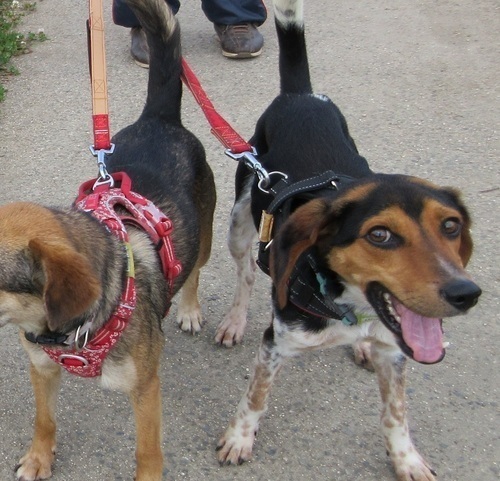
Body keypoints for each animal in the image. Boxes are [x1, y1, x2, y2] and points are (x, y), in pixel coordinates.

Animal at [0, 0, 215, 479]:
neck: (59, 331)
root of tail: (158, 118)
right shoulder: (41, 369)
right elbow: (44, 420)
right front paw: (39, 457)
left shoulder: (145, 389)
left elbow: (147, 453)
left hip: (205, 234)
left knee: (194, 270)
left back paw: (190, 308)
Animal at [215, 1, 481, 479]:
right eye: (380, 234)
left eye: (451, 226)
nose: (465, 293)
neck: (351, 305)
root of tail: (300, 95)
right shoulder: (276, 343)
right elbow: (256, 397)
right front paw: (239, 439)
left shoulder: (395, 352)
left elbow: (396, 413)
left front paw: (406, 459)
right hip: (241, 222)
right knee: (245, 276)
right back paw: (234, 321)